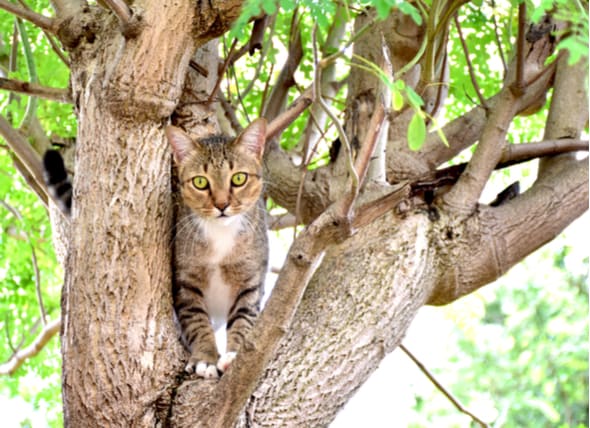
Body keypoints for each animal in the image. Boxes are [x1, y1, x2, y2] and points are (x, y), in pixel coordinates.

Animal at [165, 118, 270, 378]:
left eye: (239, 178)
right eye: (200, 182)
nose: (222, 204)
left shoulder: (250, 281)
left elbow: (244, 317)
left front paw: (234, 355)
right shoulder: (185, 283)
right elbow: (197, 321)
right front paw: (205, 358)